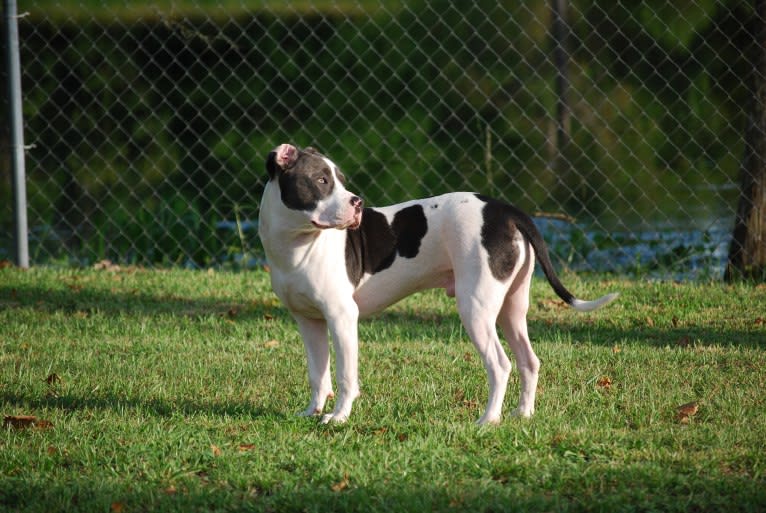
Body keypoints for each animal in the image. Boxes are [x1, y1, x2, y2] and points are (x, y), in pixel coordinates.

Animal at [260, 144, 620, 424]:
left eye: (340, 181)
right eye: (321, 180)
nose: (357, 202)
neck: (296, 244)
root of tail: (506, 210)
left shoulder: (342, 317)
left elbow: (346, 375)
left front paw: (338, 417)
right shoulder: (309, 322)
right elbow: (318, 374)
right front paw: (312, 412)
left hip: (475, 309)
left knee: (500, 364)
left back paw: (488, 419)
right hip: (511, 308)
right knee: (528, 361)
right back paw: (522, 414)